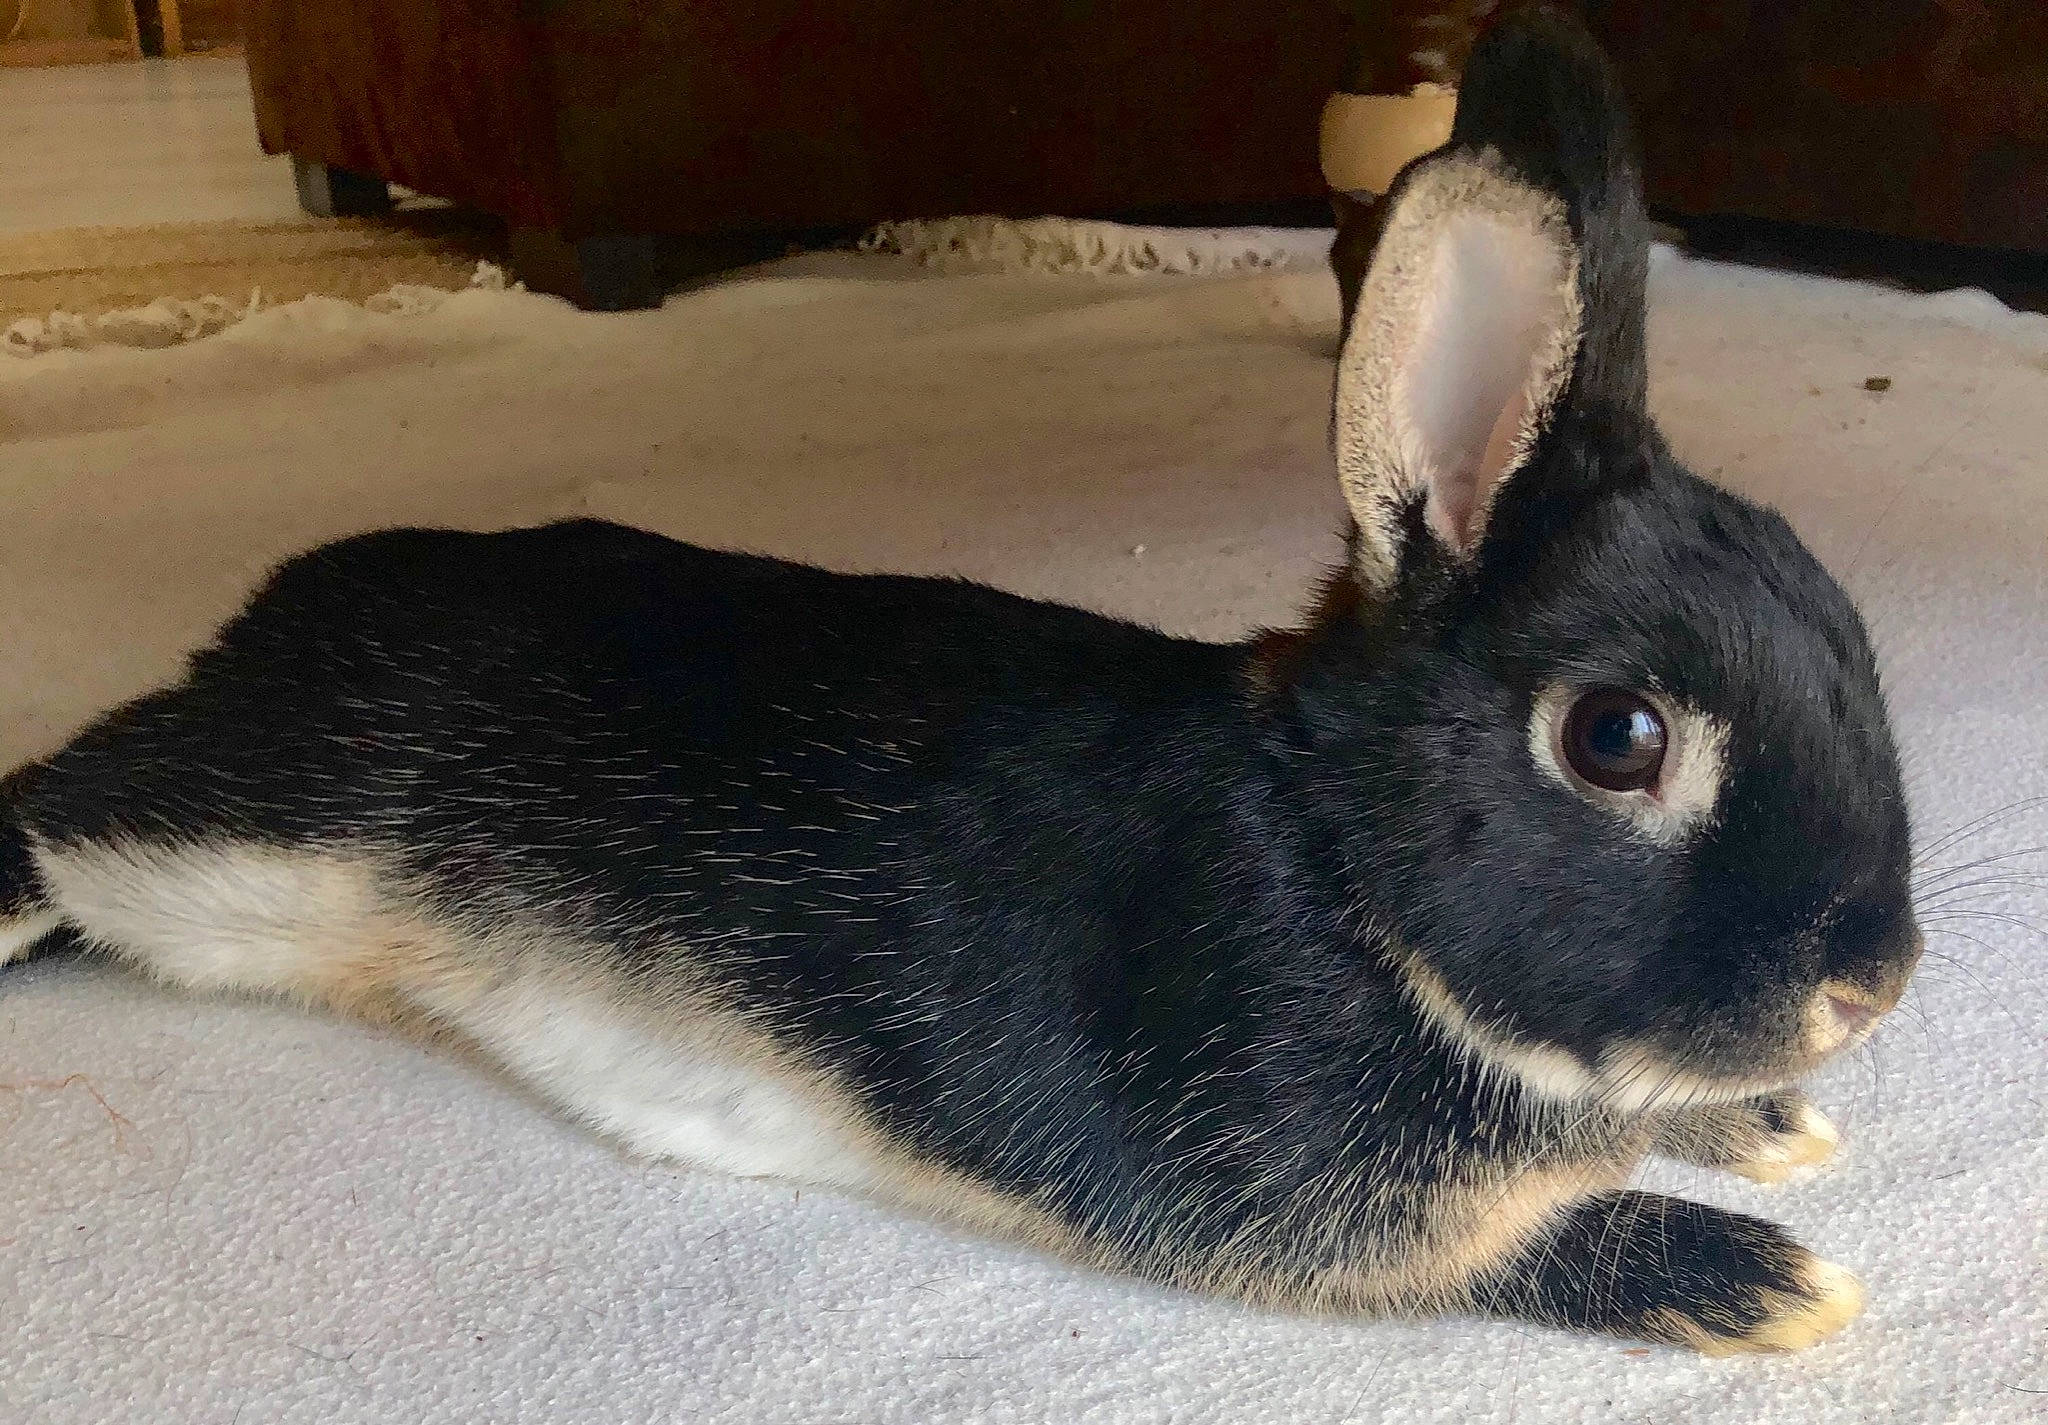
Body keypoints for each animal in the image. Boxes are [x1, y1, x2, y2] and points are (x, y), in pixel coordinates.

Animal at [0, 10, 1918, 1353]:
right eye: (1616, 739)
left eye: (1846, 630)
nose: (1873, 982)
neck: (1340, 871)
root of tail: (280, 606)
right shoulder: (1279, 1187)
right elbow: (1495, 1249)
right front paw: (1766, 1281)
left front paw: (1770, 1126)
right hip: (242, 839)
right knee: (62, 810)